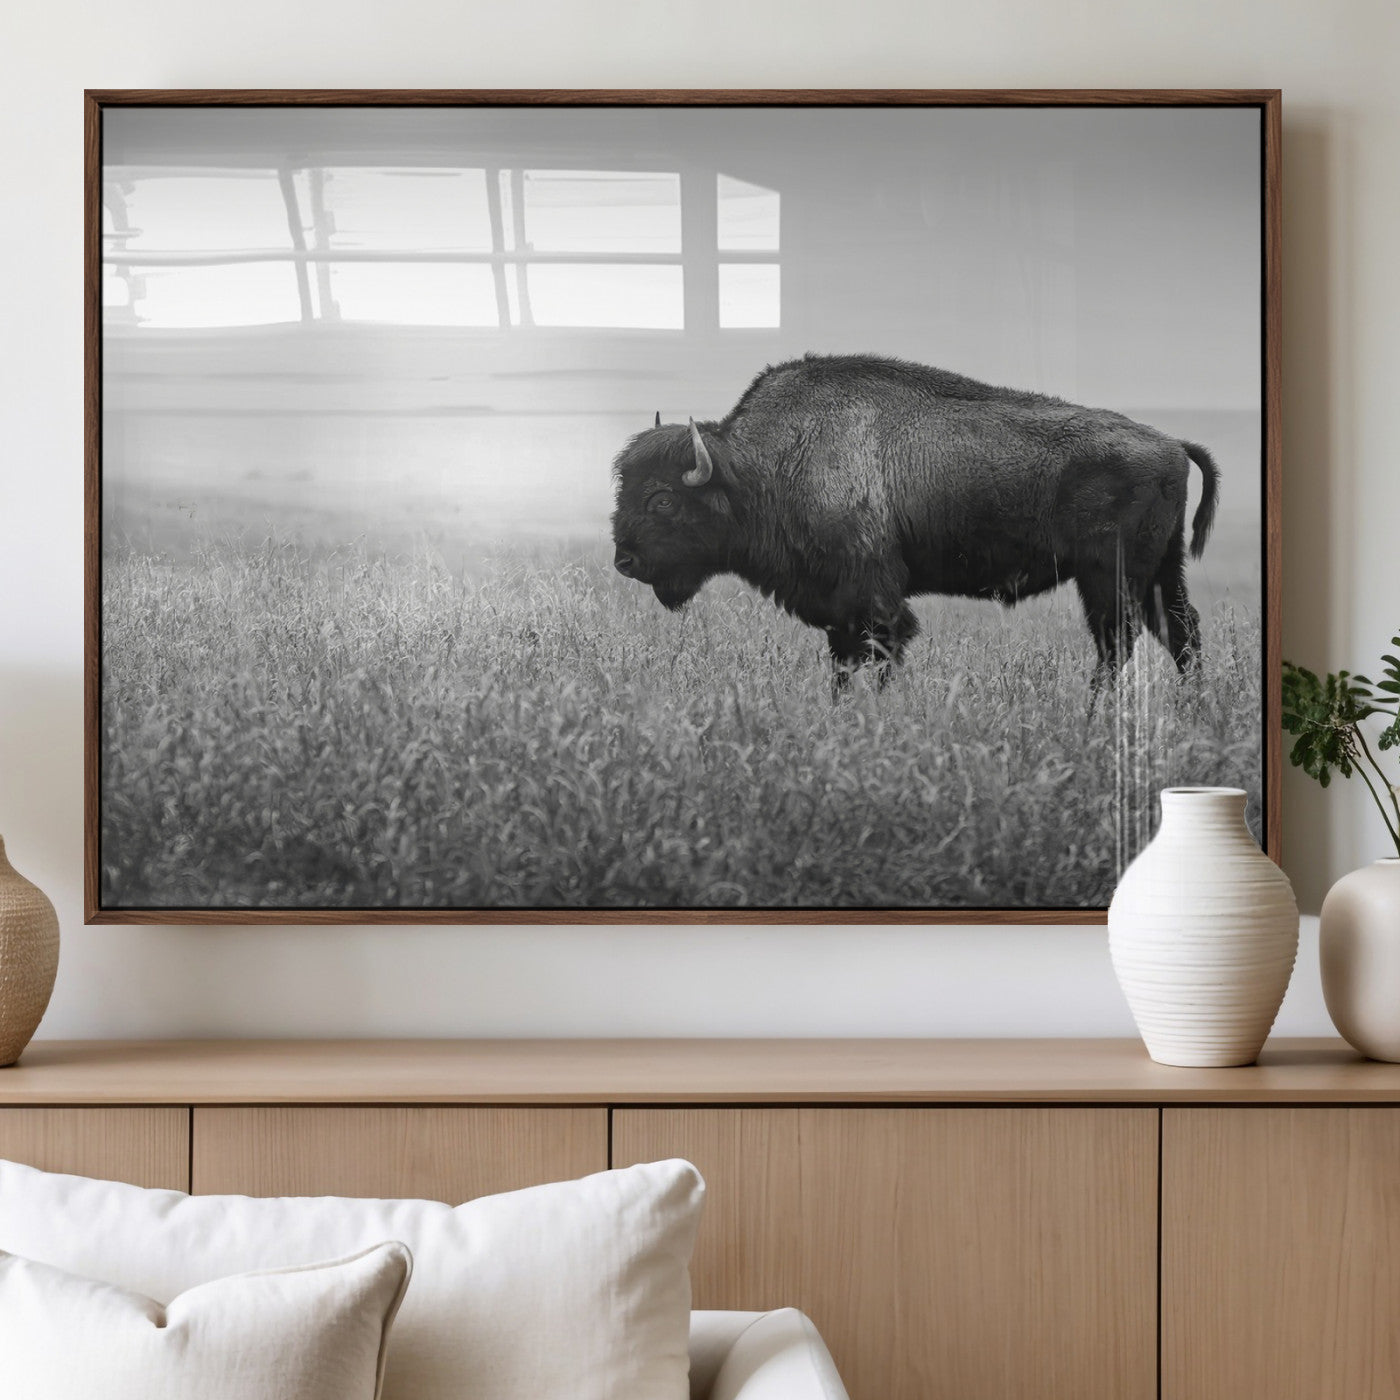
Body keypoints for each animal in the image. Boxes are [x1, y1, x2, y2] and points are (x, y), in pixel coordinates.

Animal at [610, 354, 1219, 692]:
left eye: (662, 500)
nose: (624, 560)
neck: (763, 466)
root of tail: (1171, 443)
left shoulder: (874, 602)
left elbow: (879, 656)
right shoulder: (839, 612)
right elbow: (843, 667)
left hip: (1108, 578)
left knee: (1118, 644)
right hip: (1160, 572)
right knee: (1181, 634)